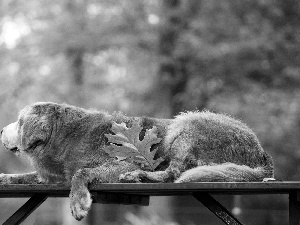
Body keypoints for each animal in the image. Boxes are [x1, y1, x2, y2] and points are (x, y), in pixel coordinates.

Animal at [0, 101, 274, 220]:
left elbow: (82, 173)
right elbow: (26, 177)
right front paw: (4, 177)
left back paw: (138, 176)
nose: (1, 130)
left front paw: (78, 202)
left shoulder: (124, 162)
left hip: (187, 123)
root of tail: (261, 154)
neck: (67, 136)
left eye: (19, 121)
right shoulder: (53, 175)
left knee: (173, 172)